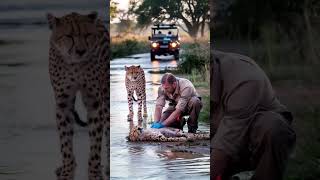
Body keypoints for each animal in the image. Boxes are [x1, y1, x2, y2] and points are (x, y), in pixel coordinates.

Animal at [46, 11, 110, 179]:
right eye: (69, 36)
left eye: (87, 35)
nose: (81, 51)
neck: (75, 65)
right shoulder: (63, 101)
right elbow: (65, 139)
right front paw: (68, 169)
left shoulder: (95, 101)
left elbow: (95, 139)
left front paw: (94, 171)